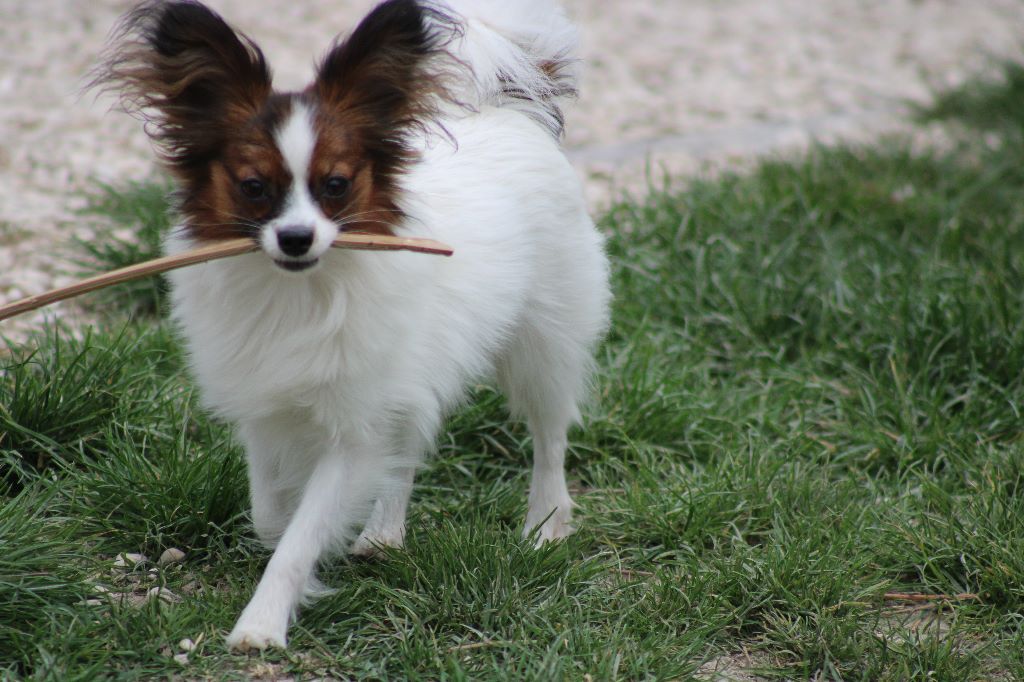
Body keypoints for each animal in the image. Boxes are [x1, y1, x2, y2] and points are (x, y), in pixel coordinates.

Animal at [96, 0, 606, 647]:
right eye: (254, 188)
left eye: (335, 185)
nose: (295, 238)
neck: (299, 290)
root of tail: (511, 115)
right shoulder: (266, 408)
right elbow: (270, 515)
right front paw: (294, 550)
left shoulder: (352, 427)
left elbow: (302, 535)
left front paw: (262, 623)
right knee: (411, 438)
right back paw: (384, 534)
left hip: (544, 343)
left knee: (549, 435)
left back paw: (545, 526)